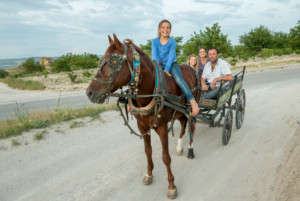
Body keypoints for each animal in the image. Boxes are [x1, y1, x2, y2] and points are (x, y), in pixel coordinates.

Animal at [86, 33, 199, 199]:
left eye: (113, 62)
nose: (90, 93)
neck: (151, 89)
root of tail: (191, 68)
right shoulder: (142, 126)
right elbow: (148, 151)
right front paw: (149, 174)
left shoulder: (162, 127)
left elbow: (165, 157)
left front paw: (171, 186)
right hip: (179, 111)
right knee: (184, 123)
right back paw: (179, 147)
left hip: (192, 105)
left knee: (191, 125)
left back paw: (190, 147)